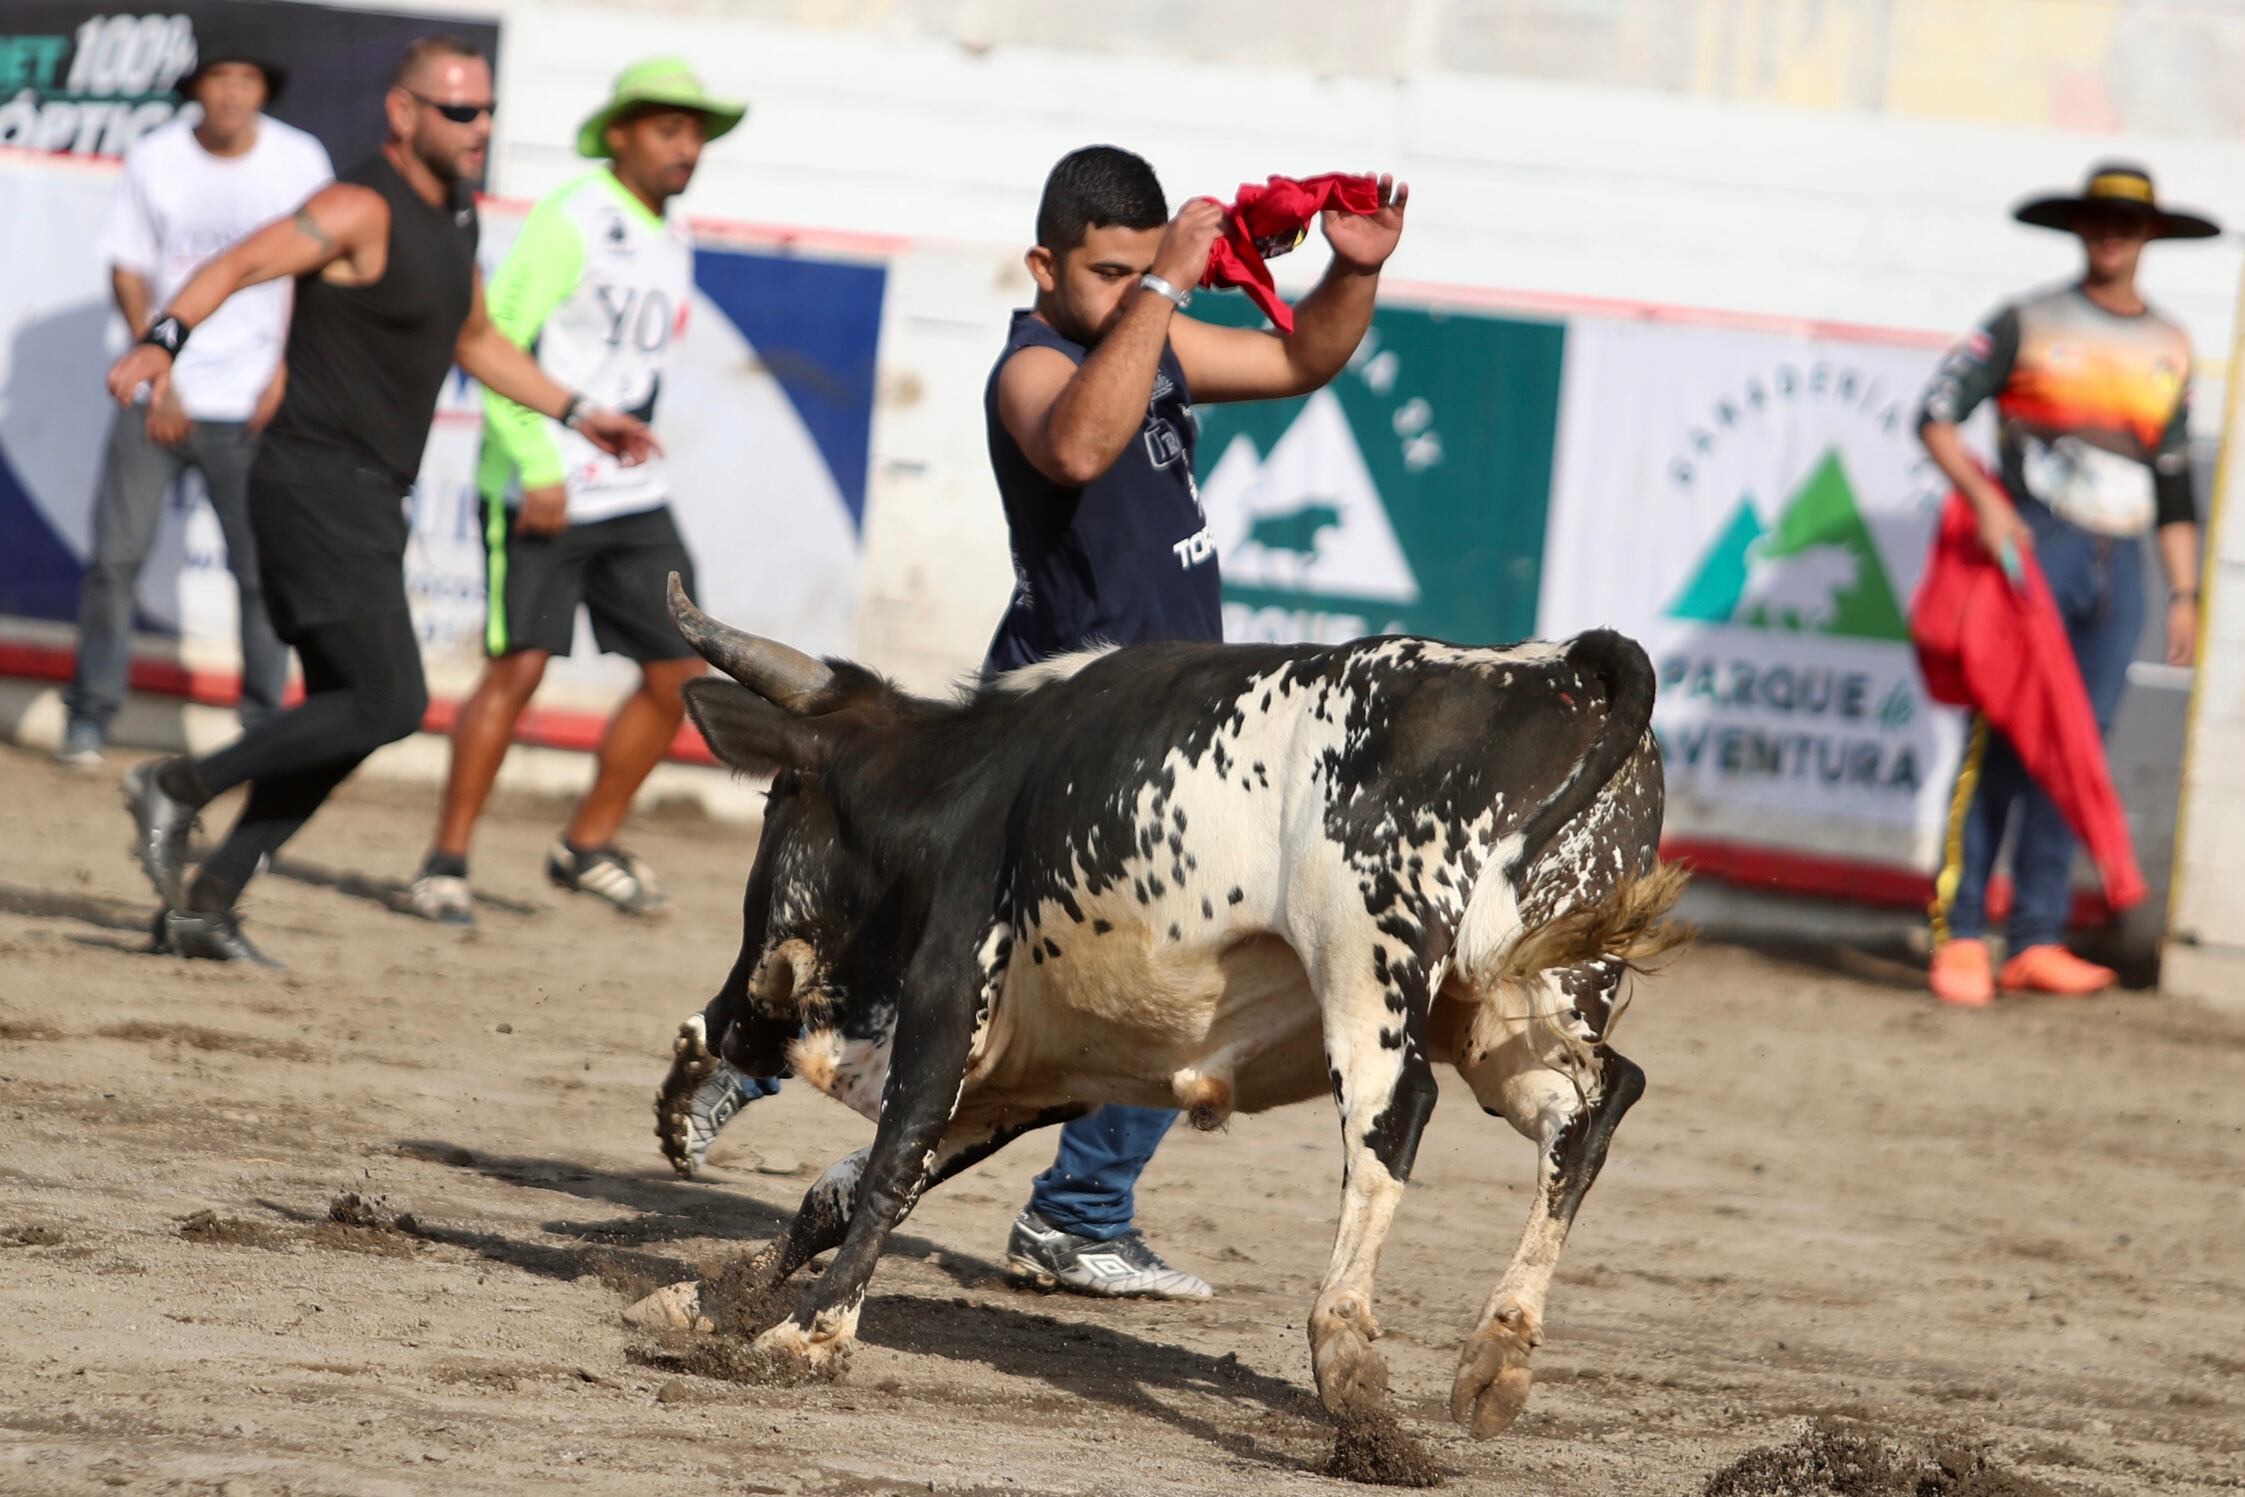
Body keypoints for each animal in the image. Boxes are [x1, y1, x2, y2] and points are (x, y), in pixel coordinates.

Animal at [651, 575, 1686, 1442]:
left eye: (779, 801)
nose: (727, 1016)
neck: (973, 786)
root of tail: (1558, 664)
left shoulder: (948, 997)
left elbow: (888, 1162)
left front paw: (807, 1334)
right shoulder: (1029, 1078)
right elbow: (847, 1185)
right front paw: (714, 1300)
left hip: (1369, 965)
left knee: (1395, 1117)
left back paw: (1345, 1348)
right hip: (1519, 995)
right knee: (1590, 1105)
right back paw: (1495, 1355)